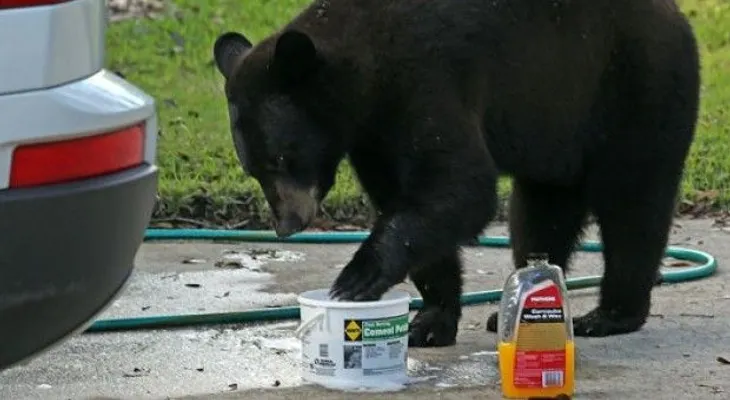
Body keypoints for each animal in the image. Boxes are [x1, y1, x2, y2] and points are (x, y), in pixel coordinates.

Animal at [212, 0, 701, 347]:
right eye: (252, 167)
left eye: (281, 158)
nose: (287, 225)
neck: (367, 66)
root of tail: (679, 15)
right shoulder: (374, 137)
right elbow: (410, 200)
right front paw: (429, 321)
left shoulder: (425, 80)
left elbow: (459, 185)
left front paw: (357, 278)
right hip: (559, 126)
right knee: (542, 211)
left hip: (634, 85)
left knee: (633, 203)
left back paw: (610, 314)